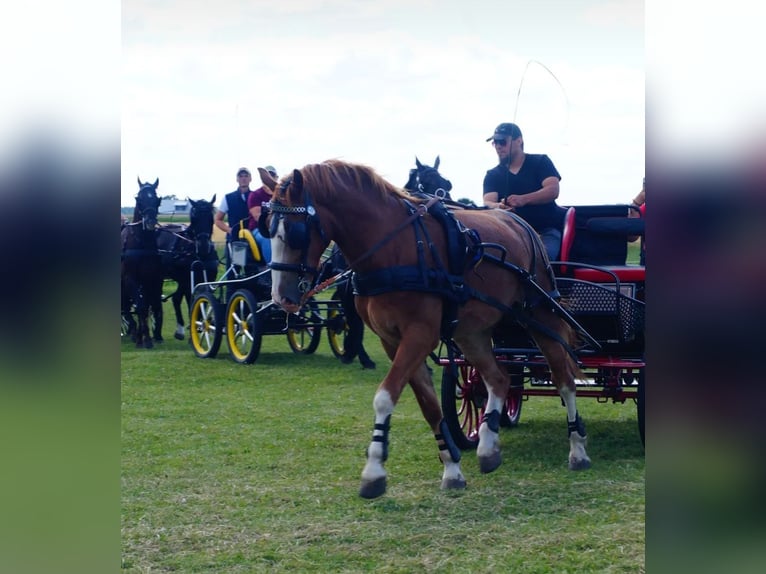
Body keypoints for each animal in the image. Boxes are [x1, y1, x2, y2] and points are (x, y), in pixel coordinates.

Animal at [158, 198, 220, 342]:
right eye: (194, 218)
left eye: (211, 217)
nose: (203, 246)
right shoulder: (187, 281)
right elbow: (190, 302)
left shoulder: (206, 279)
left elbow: (203, 301)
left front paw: (200, 326)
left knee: (176, 298)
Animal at [260, 159, 592, 500]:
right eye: (267, 226)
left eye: (296, 232)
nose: (281, 297)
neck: (394, 247)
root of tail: (519, 222)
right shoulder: (392, 340)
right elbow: (429, 405)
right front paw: (452, 468)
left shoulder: (420, 333)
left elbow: (385, 396)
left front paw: (374, 471)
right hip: (470, 332)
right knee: (498, 379)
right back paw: (488, 447)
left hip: (539, 313)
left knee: (564, 379)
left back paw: (577, 449)